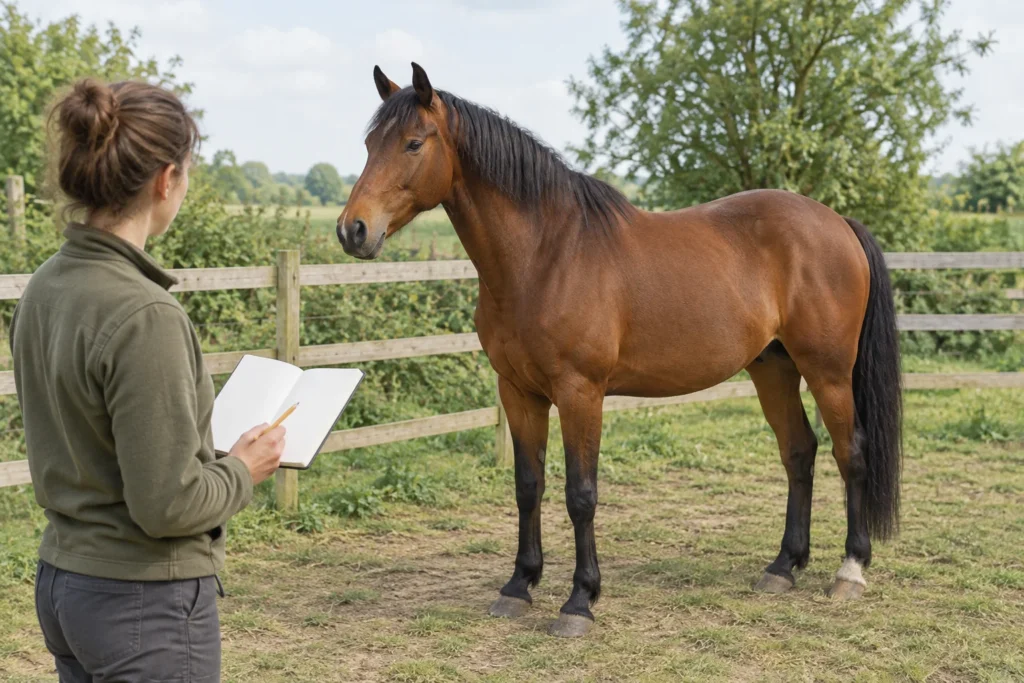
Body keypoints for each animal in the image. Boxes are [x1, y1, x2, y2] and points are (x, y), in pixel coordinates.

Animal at [338, 63, 903, 638]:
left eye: (413, 143)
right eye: (369, 144)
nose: (352, 230)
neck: (545, 256)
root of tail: (837, 224)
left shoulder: (580, 393)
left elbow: (581, 495)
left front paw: (579, 601)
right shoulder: (518, 392)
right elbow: (528, 486)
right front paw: (519, 586)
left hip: (828, 371)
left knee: (850, 453)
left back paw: (850, 570)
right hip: (773, 369)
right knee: (799, 452)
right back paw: (783, 566)